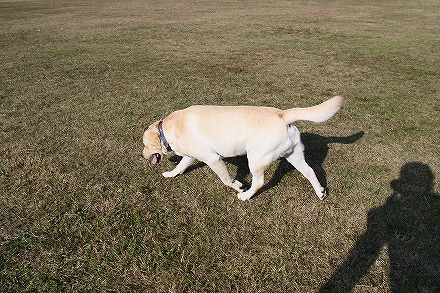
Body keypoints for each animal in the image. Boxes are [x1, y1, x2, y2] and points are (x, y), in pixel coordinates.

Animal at [143, 96, 342, 201]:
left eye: (145, 145)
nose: (142, 155)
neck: (169, 128)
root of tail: (283, 115)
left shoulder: (213, 158)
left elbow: (226, 180)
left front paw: (238, 187)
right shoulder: (192, 155)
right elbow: (180, 166)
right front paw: (170, 174)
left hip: (256, 158)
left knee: (259, 182)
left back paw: (246, 196)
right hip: (294, 155)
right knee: (310, 171)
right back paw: (320, 192)